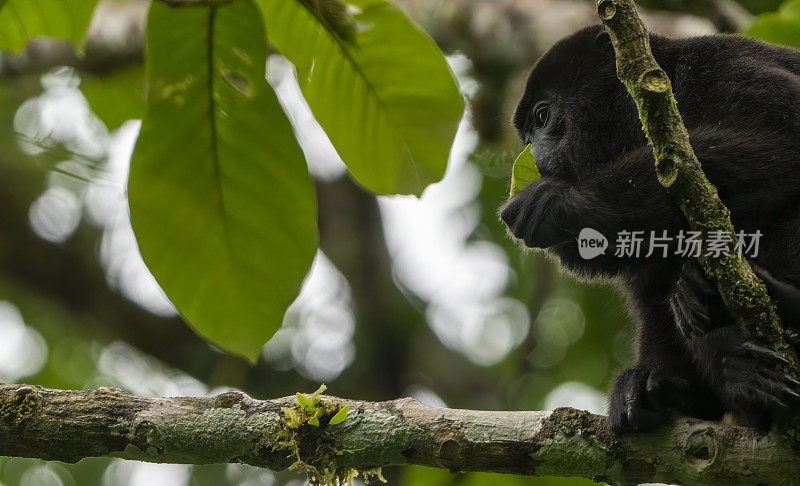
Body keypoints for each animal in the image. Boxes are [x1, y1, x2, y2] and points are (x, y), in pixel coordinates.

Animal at [504, 24, 800, 432]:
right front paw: (650, 385)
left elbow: (782, 144)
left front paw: (559, 202)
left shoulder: (726, 69)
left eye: (543, 116)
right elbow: (650, 288)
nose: (531, 155)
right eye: (527, 134)